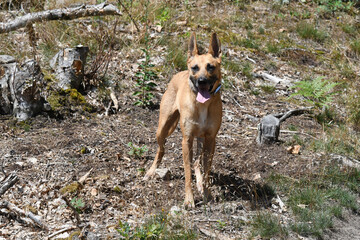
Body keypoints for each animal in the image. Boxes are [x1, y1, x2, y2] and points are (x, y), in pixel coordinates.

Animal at [143, 32, 222, 208]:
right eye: (195, 68)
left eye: (211, 67)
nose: (201, 81)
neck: (202, 105)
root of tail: (178, 73)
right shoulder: (187, 140)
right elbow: (187, 172)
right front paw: (189, 199)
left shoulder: (211, 140)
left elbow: (206, 170)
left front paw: (206, 193)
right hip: (162, 128)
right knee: (161, 150)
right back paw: (151, 171)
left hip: (201, 139)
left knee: (198, 163)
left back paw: (199, 183)